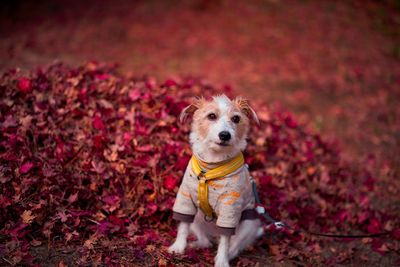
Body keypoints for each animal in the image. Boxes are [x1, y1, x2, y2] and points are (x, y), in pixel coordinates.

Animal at [168, 95, 264, 266]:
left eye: (236, 118)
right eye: (211, 116)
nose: (225, 135)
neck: (212, 165)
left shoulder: (229, 208)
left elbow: (226, 241)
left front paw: (221, 261)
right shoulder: (186, 199)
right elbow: (183, 225)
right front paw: (178, 247)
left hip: (248, 224)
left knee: (233, 246)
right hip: (197, 218)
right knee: (206, 241)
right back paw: (195, 245)